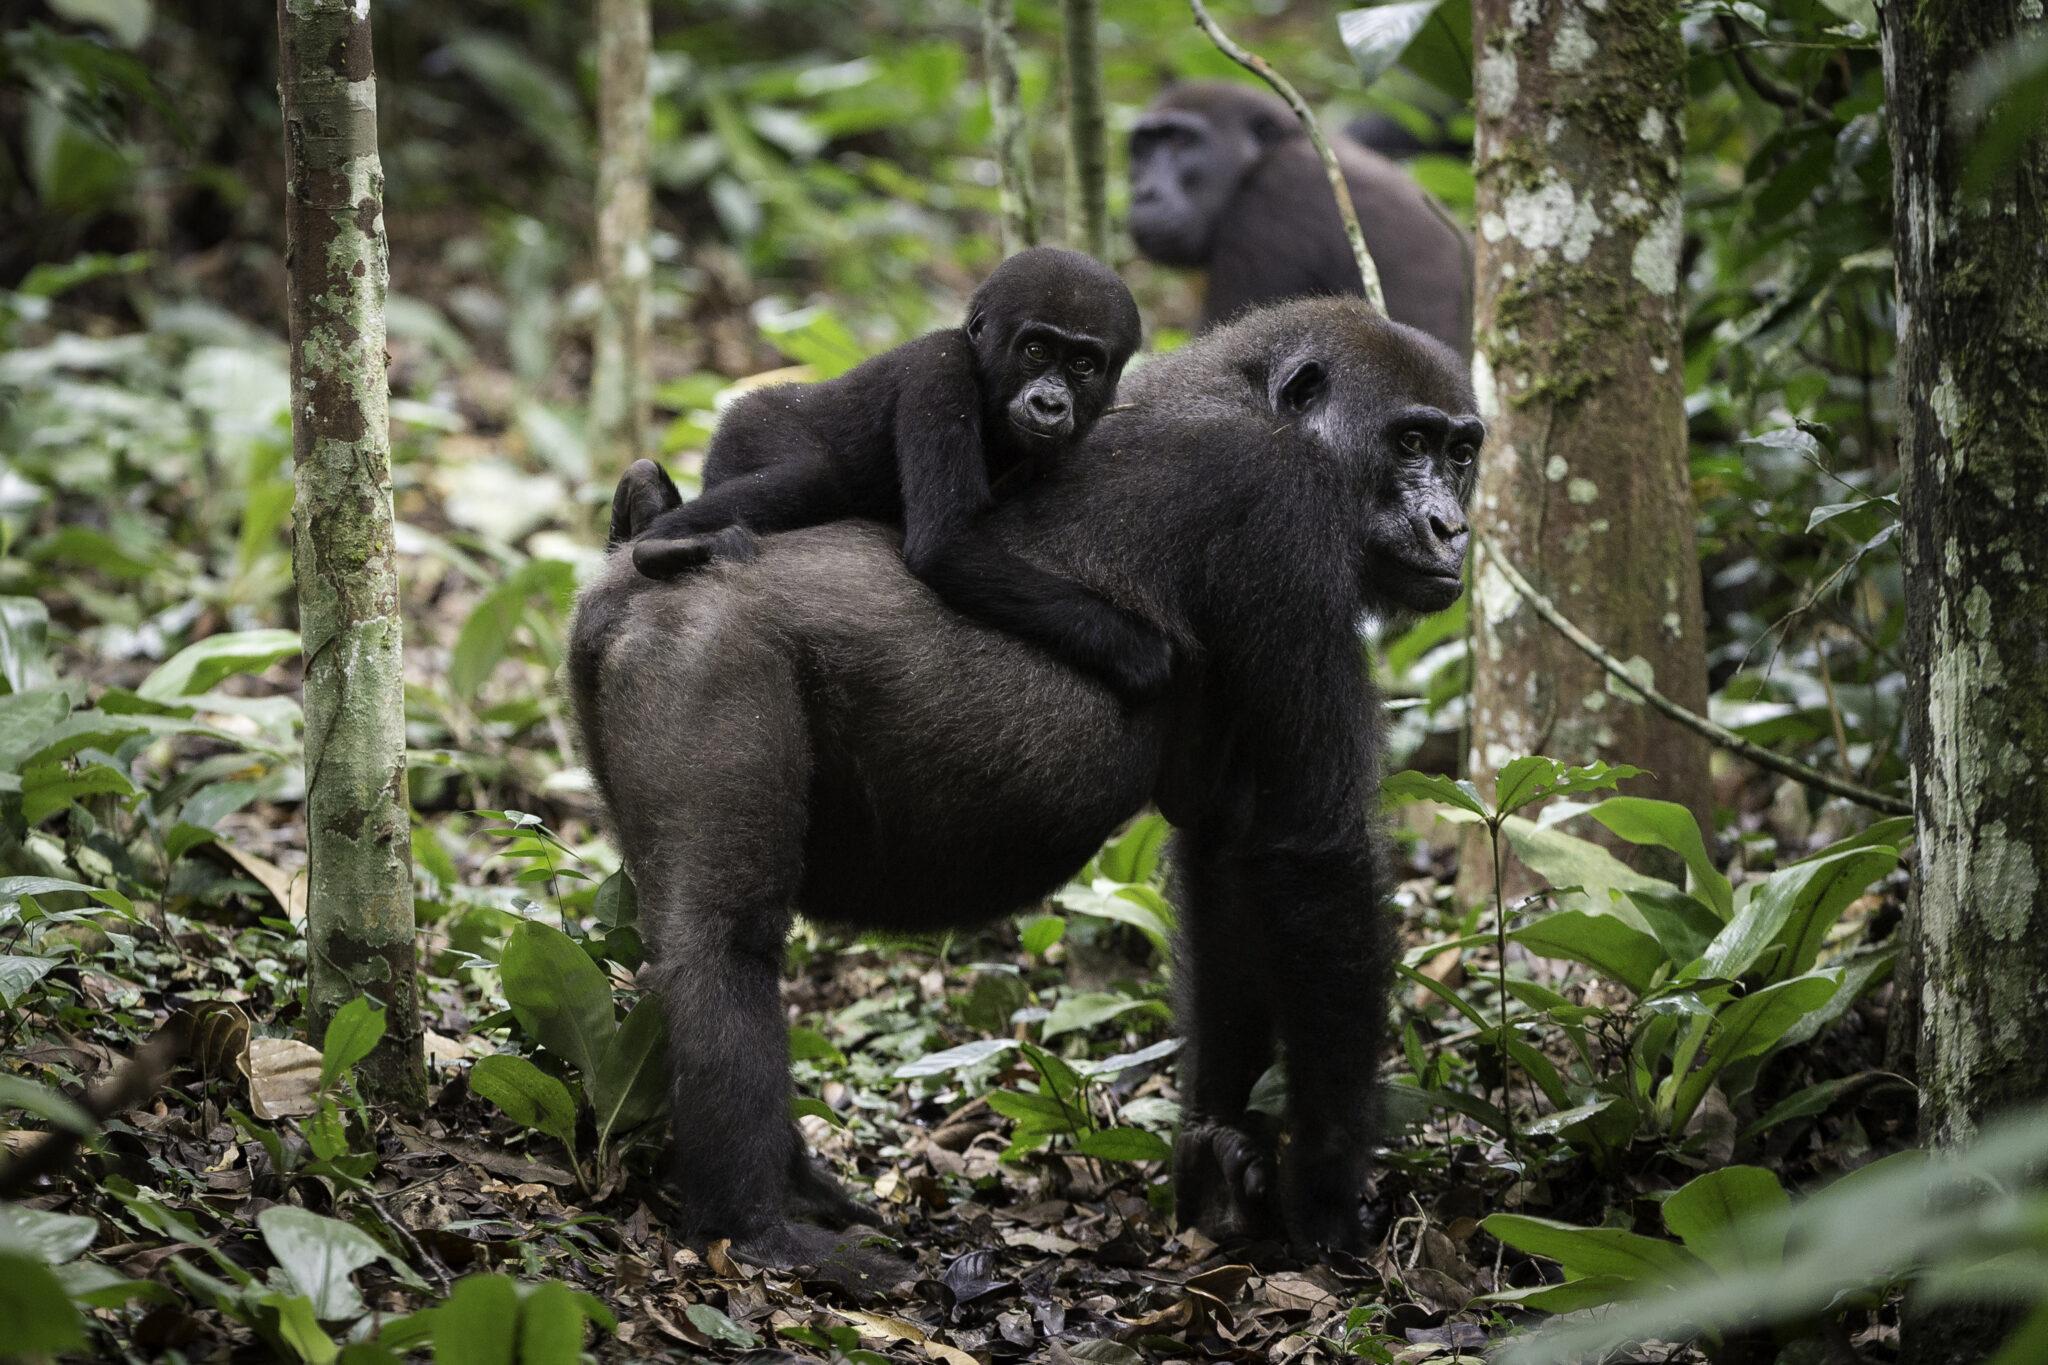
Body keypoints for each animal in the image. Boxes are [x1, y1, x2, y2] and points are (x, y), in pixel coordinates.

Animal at [569, 297, 1481, 1270]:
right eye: (1410, 441)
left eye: (1462, 453)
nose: (1450, 529)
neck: (1254, 394)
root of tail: (624, 575)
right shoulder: (1286, 514)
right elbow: (1315, 853)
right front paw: (1325, 1193)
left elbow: (1230, 855)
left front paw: (1218, 1161)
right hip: (708, 651)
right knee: (723, 940)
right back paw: (755, 1226)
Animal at [615, 246, 1170, 704]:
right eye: (1035, 350)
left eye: (1083, 364)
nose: (1050, 404)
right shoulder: (939, 372)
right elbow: (945, 546)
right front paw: (1135, 648)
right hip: (751, 426)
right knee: (812, 476)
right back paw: (660, 542)